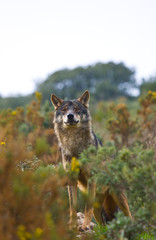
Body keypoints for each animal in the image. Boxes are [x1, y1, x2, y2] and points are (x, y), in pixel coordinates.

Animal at [50, 90, 132, 231]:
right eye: (64, 110)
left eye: (77, 109)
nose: (70, 116)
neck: (75, 147)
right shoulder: (71, 179)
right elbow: (72, 206)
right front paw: (72, 225)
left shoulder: (91, 178)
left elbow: (86, 207)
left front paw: (84, 226)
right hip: (98, 209)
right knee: (103, 226)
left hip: (119, 199)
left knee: (131, 218)